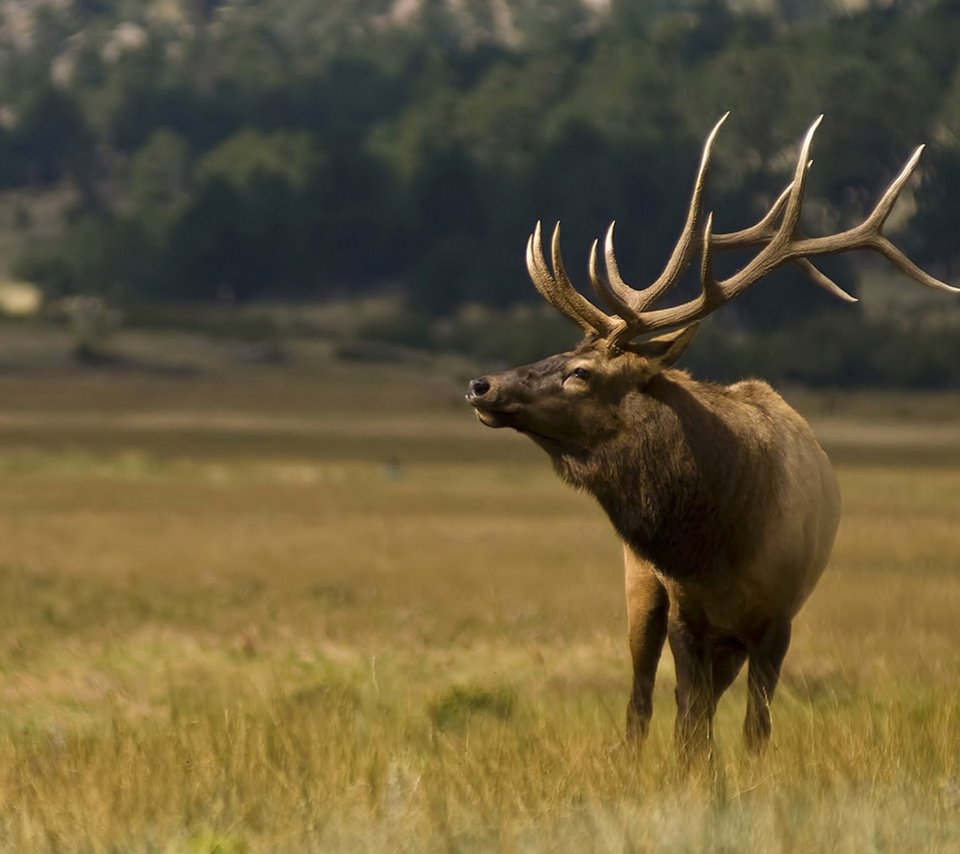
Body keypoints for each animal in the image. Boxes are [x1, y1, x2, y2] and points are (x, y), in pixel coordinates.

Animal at [466, 115, 960, 756]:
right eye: (561, 352)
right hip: (640, 586)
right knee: (642, 701)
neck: (719, 544)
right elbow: (688, 726)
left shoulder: (778, 619)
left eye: (581, 372)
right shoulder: (685, 611)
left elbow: (753, 729)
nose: (481, 385)